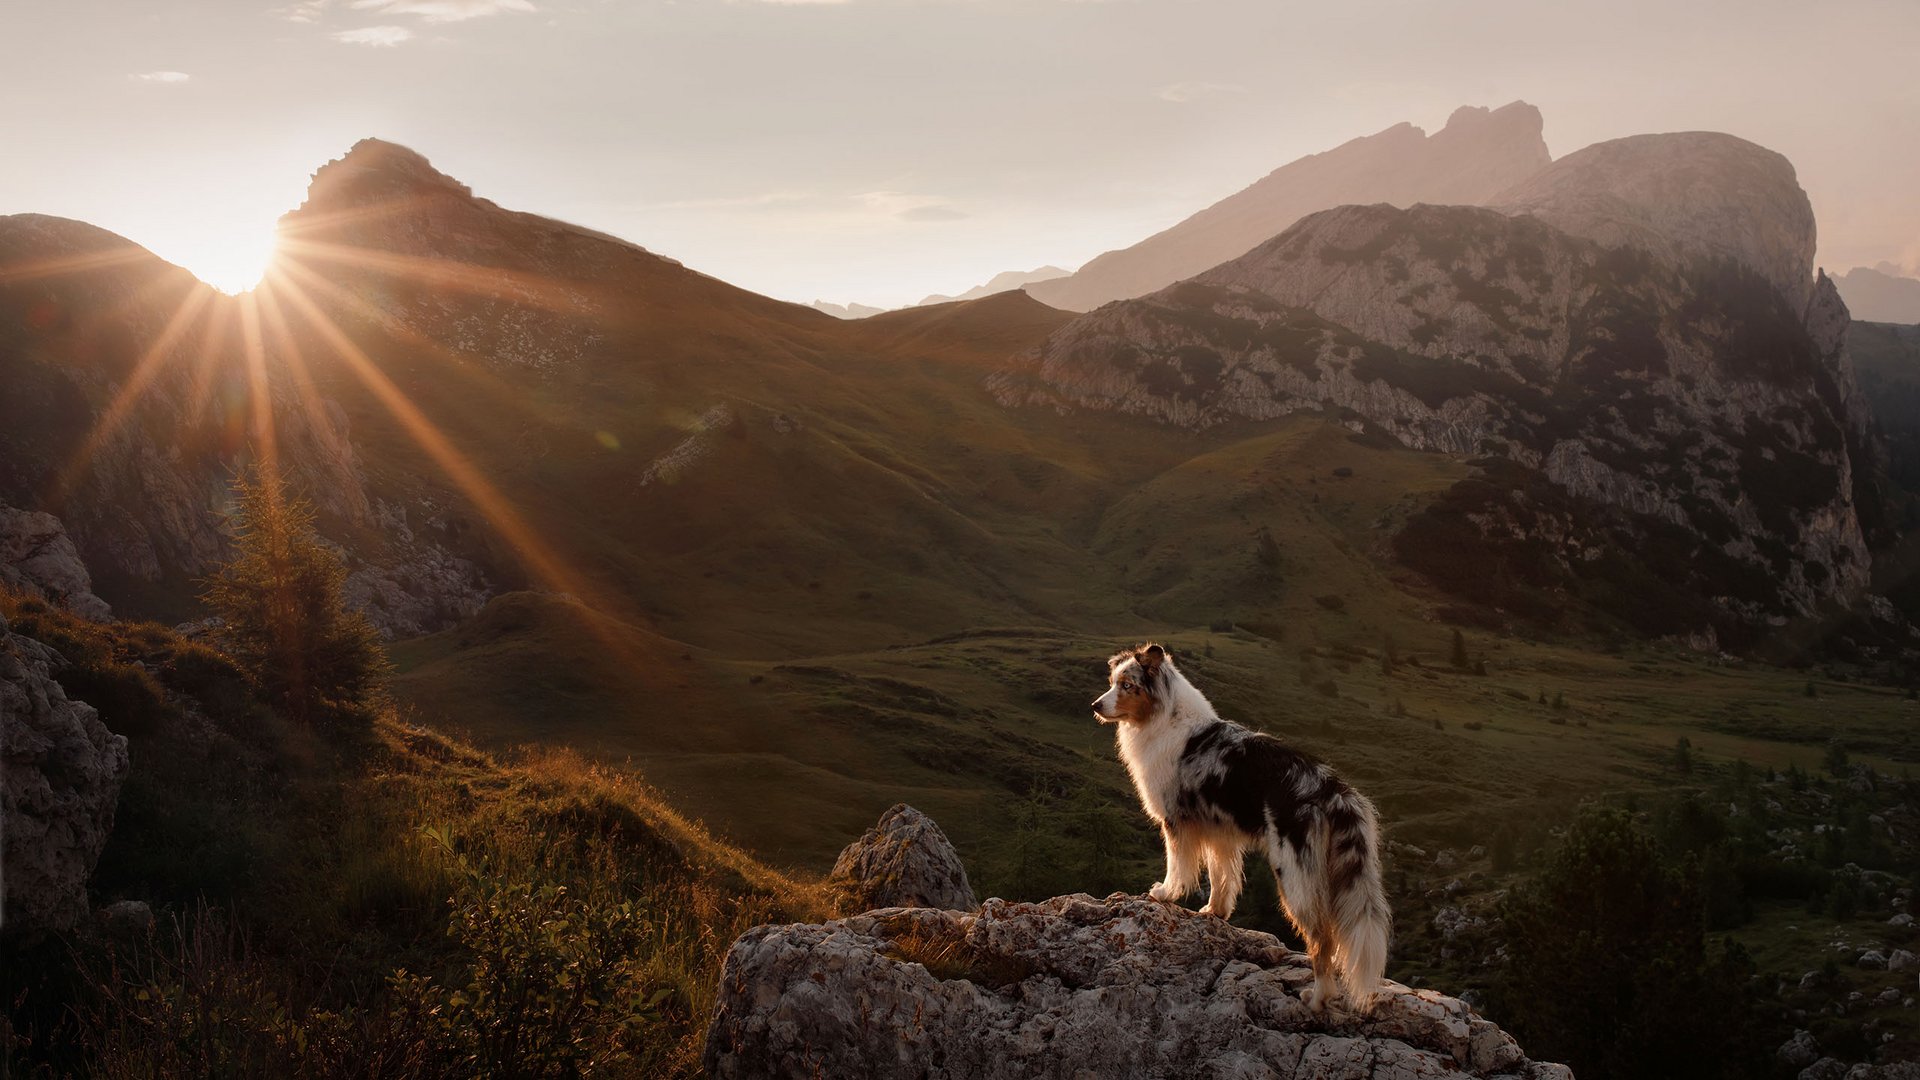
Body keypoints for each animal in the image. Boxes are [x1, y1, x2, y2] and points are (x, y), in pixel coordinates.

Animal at [1098, 638, 1397, 1006]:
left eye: (1128, 685)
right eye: (1113, 681)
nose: (1095, 705)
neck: (1165, 718)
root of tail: (1333, 789)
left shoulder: (1176, 822)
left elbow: (1178, 867)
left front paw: (1165, 893)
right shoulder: (1219, 834)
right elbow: (1221, 876)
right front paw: (1214, 912)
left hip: (1294, 873)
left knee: (1322, 937)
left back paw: (1317, 998)